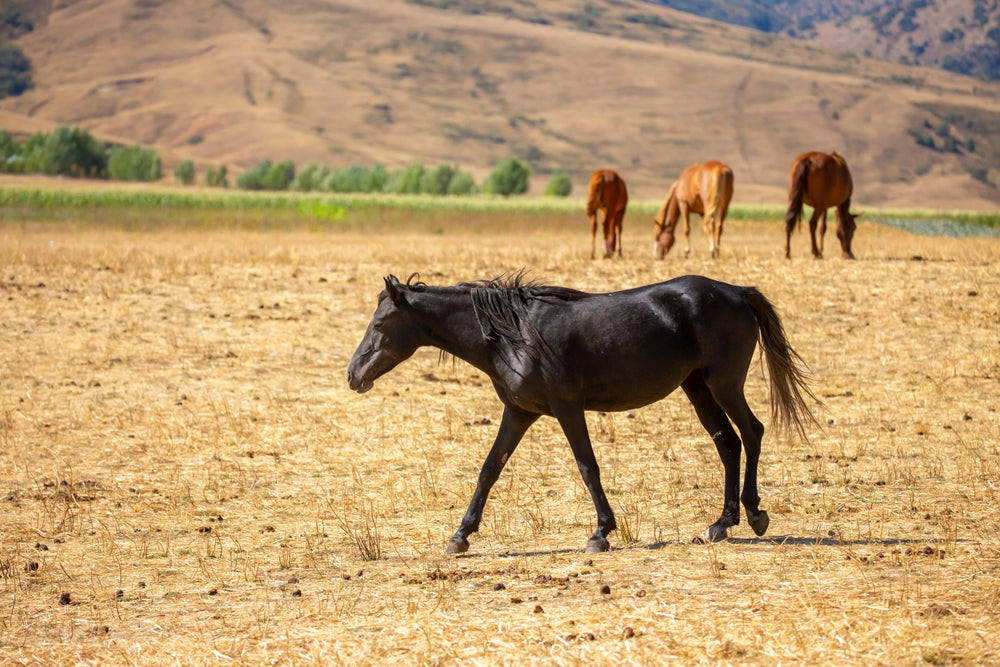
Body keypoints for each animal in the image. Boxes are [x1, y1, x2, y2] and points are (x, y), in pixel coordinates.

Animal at [347, 273, 818, 554]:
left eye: (381, 324)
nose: (353, 374)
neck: (515, 334)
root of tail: (737, 292)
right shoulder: (519, 412)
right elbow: (489, 469)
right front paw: (460, 536)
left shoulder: (567, 408)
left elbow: (587, 467)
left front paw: (601, 534)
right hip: (697, 387)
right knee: (728, 442)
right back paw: (721, 524)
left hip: (723, 384)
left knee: (752, 433)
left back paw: (754, 515)